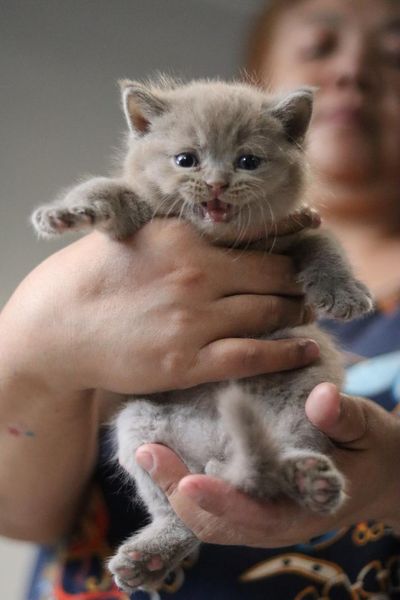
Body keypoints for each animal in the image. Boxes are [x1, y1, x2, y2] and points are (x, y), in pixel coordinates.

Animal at [31, 77, 372, 592]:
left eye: (248, 161)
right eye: (185, 159)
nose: (216, 183)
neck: (216, 237)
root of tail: (222, 449)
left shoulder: (289, 233)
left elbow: (324, 242)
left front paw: (342, 290)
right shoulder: (141, 217)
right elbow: (110, 190)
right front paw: (68, 211)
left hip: (306, 394)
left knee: (276, 457)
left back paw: (307, 478)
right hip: (139, 427)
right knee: (178, 512)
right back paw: (152, 556)